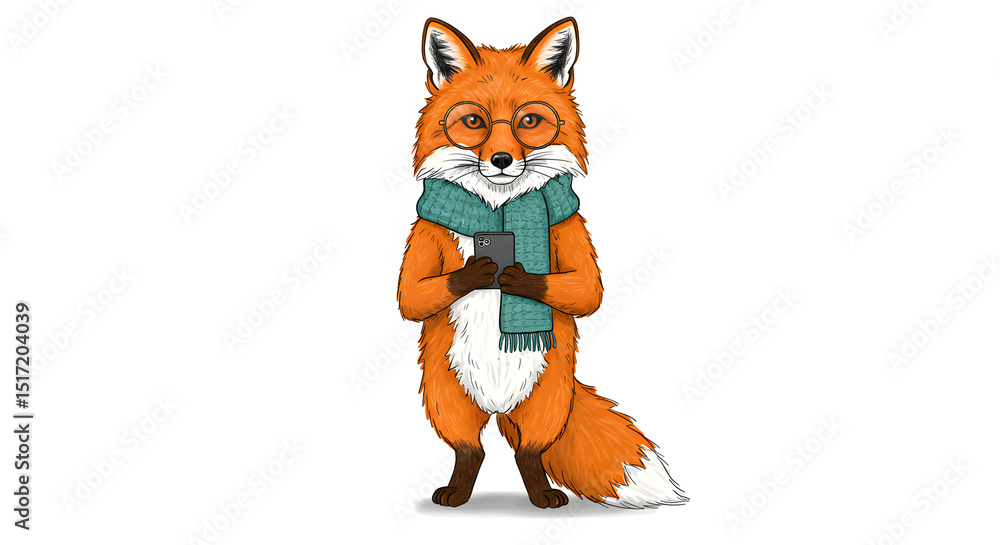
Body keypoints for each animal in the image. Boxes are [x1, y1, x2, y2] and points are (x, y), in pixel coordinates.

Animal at [397, 17, 688, 509]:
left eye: (529, 121)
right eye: (473, 122)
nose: (501, 160)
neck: (497, 209)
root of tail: (498, 405)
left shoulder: (572, 230)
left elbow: (586, 291)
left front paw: (517, 277)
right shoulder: (424, 234)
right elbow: (412, 295)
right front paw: (476, 272)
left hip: (546, 401)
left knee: (528, 453)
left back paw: (541, 495)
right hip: (447, 398)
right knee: (469, 450)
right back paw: (458, 492)